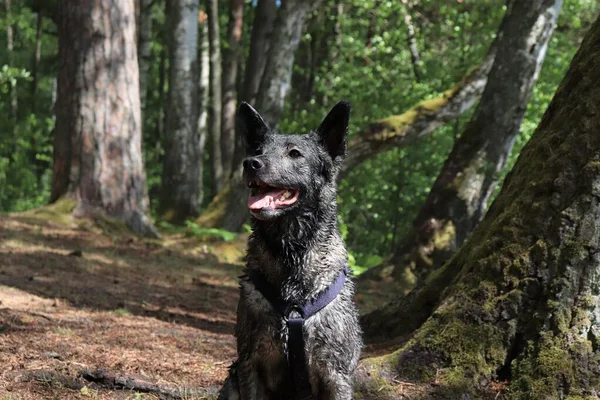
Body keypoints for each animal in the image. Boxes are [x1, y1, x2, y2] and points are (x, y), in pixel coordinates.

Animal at [219, 101, 364, 400]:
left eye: (294, 153)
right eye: (257, 150)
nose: (251, 163)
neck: (291, 253)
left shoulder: (336, 375)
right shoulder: (250, 364)